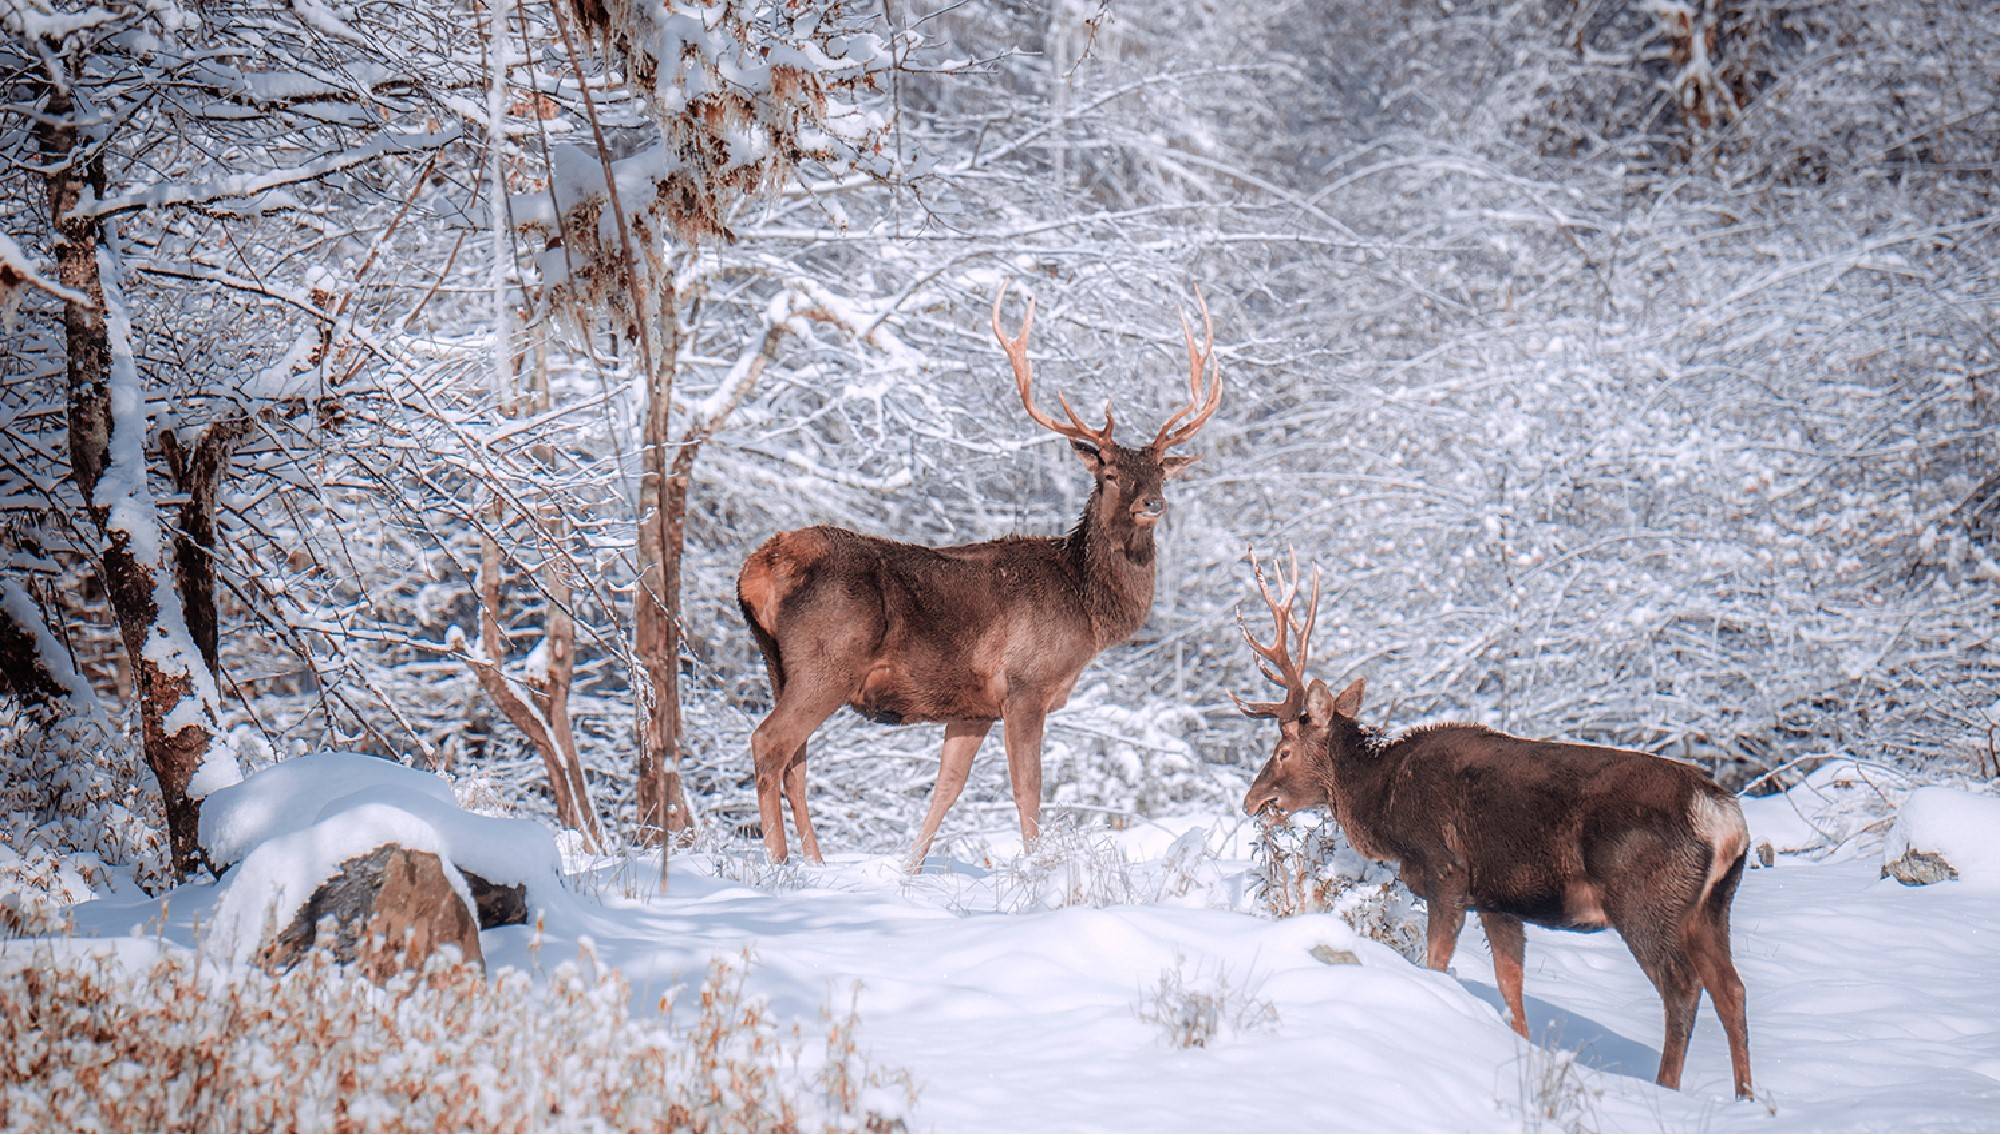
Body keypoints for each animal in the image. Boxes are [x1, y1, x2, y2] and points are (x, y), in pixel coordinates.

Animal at [740, 288, 1216, 864]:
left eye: (1159, 472)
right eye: (1108, 473)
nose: (1153, 503)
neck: (1086, 611)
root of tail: (759, 567)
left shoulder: (972, 707)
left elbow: (947, 790)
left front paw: (910, 869)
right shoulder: (1025, 685)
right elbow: (1028, 789)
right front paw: (1038, 868)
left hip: (777, 663)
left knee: (796, 763)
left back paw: (813, 862)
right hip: (826, 660)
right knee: (770, 743)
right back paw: (780, 863)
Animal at [1232, 552, 1752, 1104]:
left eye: (1284, 749)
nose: (1253, 800)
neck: (1382, 804)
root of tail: (1723, 818)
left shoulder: (1447, 871)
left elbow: (1437, 964)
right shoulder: (1499, 901)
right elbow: (1511, 989)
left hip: (1645, 898)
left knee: (1683, 987)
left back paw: (1666, 1088)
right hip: (1713, 906)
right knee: (1732, 988)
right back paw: (1747, 1098)